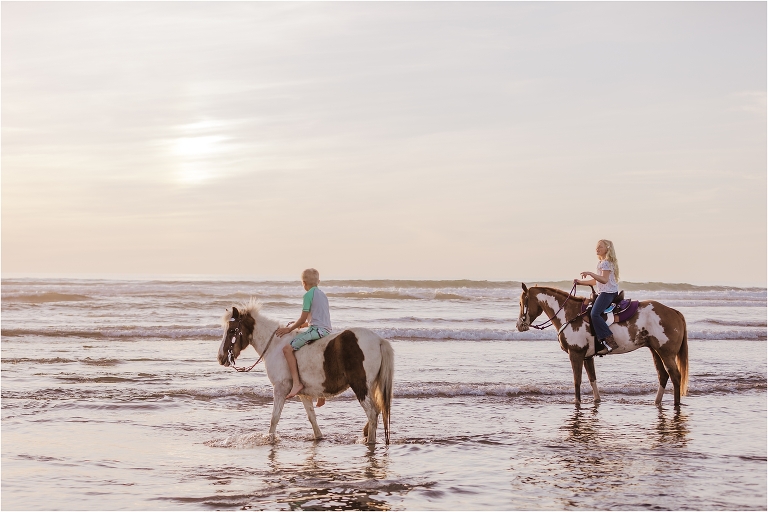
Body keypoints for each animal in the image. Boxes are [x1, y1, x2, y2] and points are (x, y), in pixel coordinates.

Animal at [217, 300, 394, 444]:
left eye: (232, 331)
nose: (221, 357)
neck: (275, 346)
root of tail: (379, 340)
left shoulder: (280, 388)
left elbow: (274, 418)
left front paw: (270, 439)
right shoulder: (304, 393)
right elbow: (312, 418)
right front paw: (319, 437)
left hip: (360, 386)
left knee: (372, 413)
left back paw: (370, 441)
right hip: (371, 386)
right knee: (377, 410)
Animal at [516, 284, 689, 407]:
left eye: (521, 303)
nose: (519, 325)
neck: (570, 314)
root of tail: (674, 312)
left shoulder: (575, 354)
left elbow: (577, 381)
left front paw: (577, 403)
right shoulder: (587, 357)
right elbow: (592, 379)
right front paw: (597, 401)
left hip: (666, 353)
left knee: (675, 376)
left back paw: (676, 404)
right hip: (655, 351)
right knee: (663, 375)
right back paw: (657, 402)